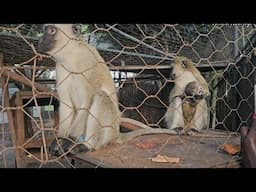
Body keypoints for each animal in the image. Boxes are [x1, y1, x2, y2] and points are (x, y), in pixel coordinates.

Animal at [38, 24, 178, 156]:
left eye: (51, 31)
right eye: (45, 30)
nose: (41, 39)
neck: (72, 56)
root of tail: (116, 133)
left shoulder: (88, 63)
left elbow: (85, 105)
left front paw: (67, 140)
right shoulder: (60, 66)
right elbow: (67, 105)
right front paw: (58, 140)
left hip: (107, 131)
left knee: (100, 96)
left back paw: (86, 145)